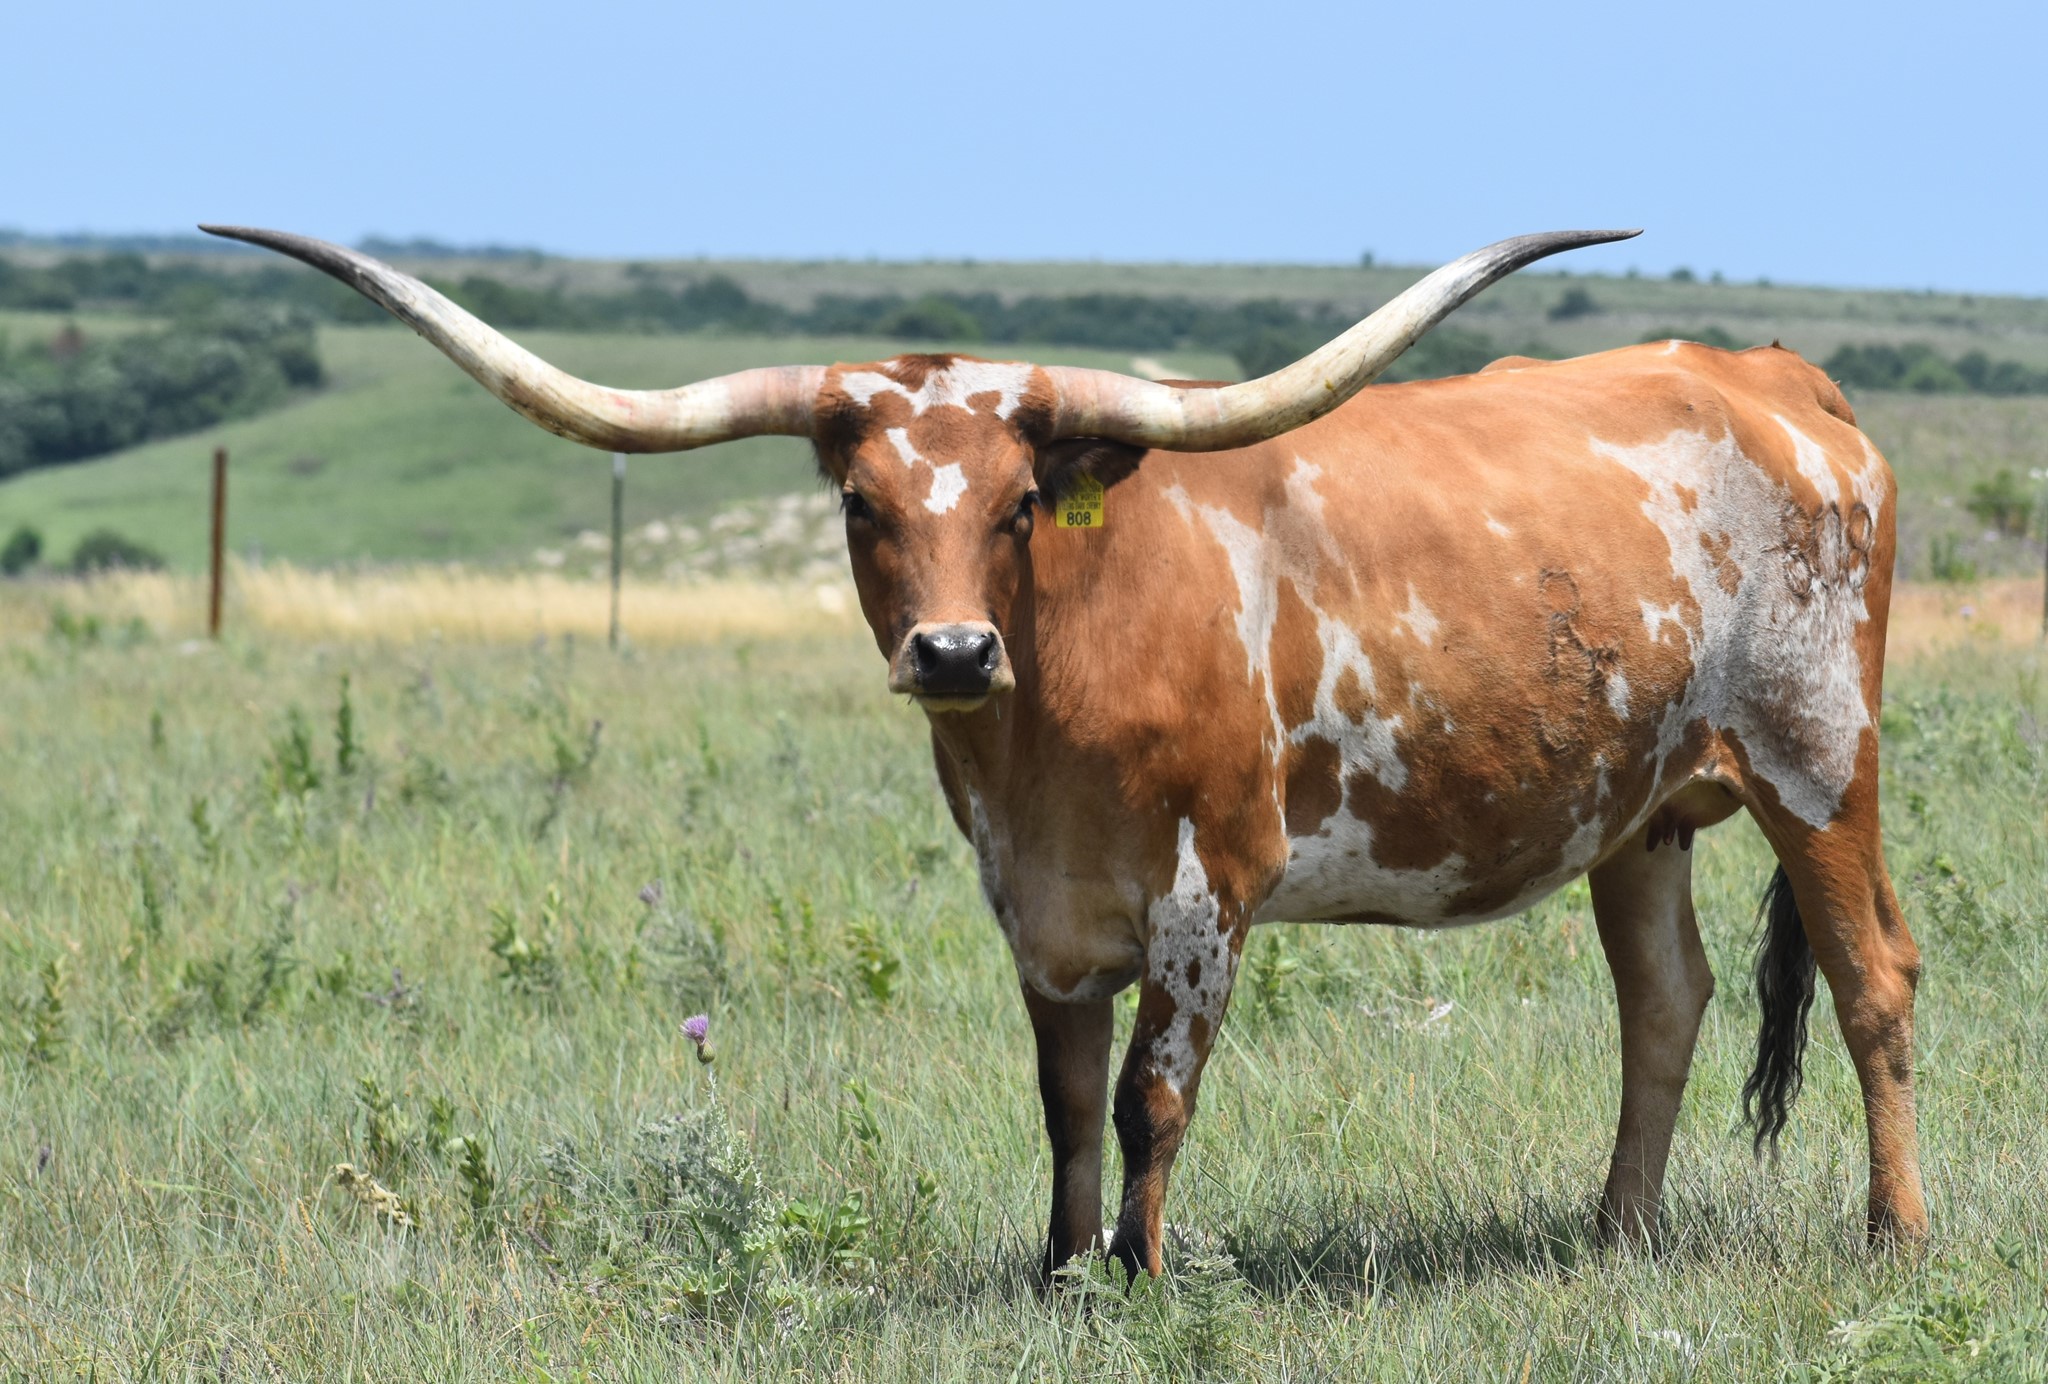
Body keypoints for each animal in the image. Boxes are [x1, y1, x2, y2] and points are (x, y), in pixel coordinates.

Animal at [205, 223, 1927, 1277]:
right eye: (861, 505)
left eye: (1023, 500)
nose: (955, 653)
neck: (1048, 723)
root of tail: (1773, 374)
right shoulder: (1037, 909)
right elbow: (1061, 1098)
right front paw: (1059, 1272)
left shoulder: (1206, 891)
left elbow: (1151, 1099)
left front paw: (1148, 1278)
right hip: (1639, 810)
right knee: (1666, 1002)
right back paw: (1615, 1233)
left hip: (1817, 758)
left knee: (1872, 984)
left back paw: (1896, 1234)